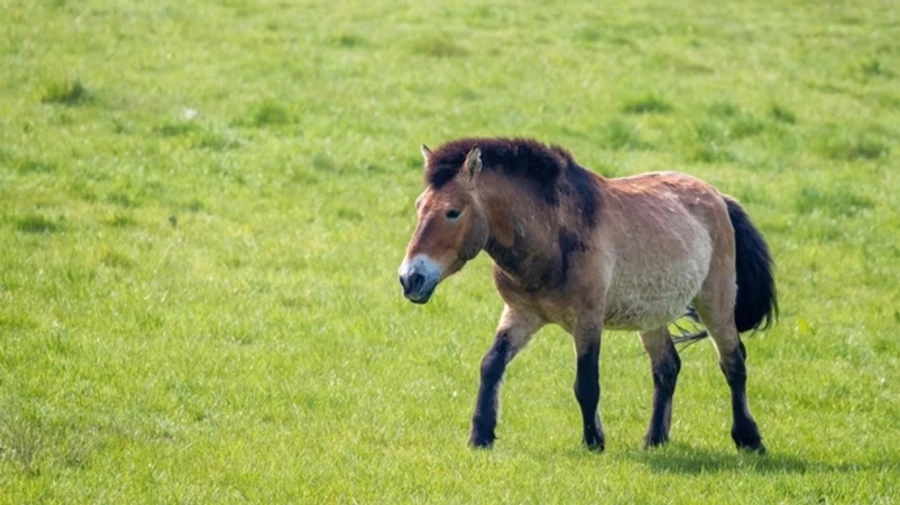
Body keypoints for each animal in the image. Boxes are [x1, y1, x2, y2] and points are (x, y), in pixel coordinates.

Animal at [397, 137, 777, 453]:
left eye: (453, 211)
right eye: (418, 206)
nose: (410, 278)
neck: (551, 233)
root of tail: (718, 198)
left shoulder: (587, 320)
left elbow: (586, 383)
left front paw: (594, 441)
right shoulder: (521, 314)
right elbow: (491, 365)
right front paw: (481, 435)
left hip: (716, 302)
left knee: (733, 363)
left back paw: (749, 439)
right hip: (651, 316)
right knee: (667, 367)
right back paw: (654, 439)